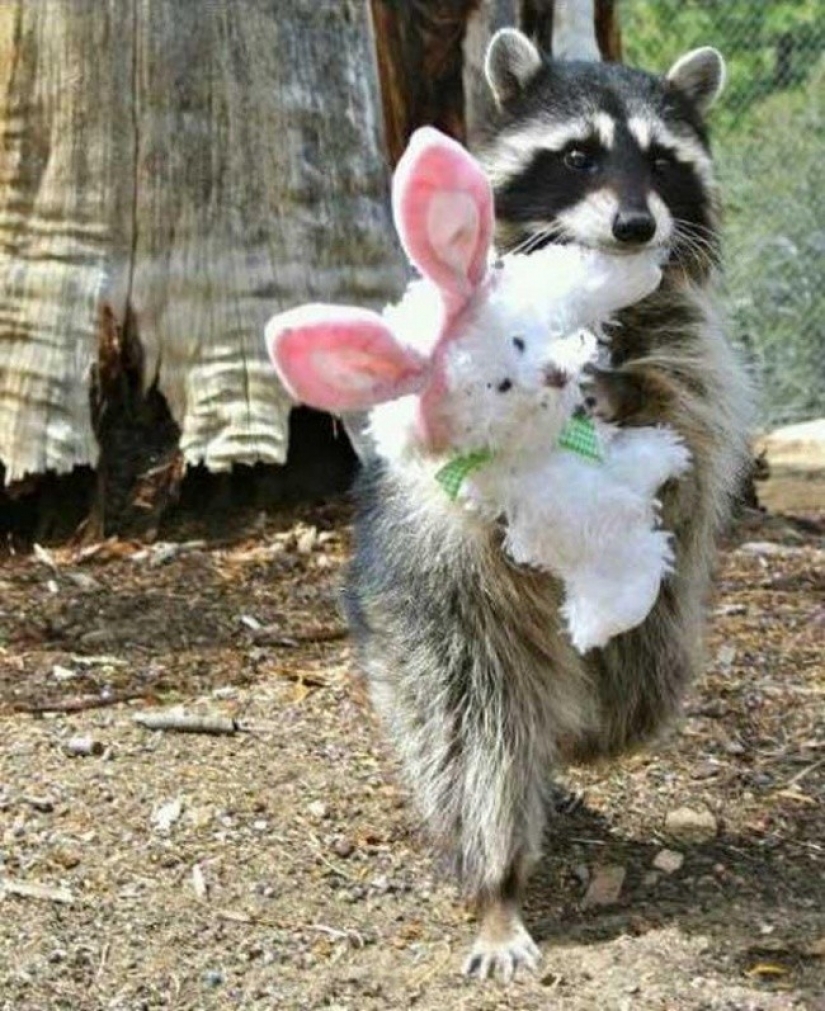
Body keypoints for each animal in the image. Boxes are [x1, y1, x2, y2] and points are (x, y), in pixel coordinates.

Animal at [343, 30, 753, 981]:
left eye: (661, 161)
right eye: (578, 156)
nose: (636, 227)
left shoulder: (683, 337)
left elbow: (690, 418)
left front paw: (629, 398)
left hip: (655, 624)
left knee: (638, 689)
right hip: (442, 611)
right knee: (475, 734)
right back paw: (497, 884)